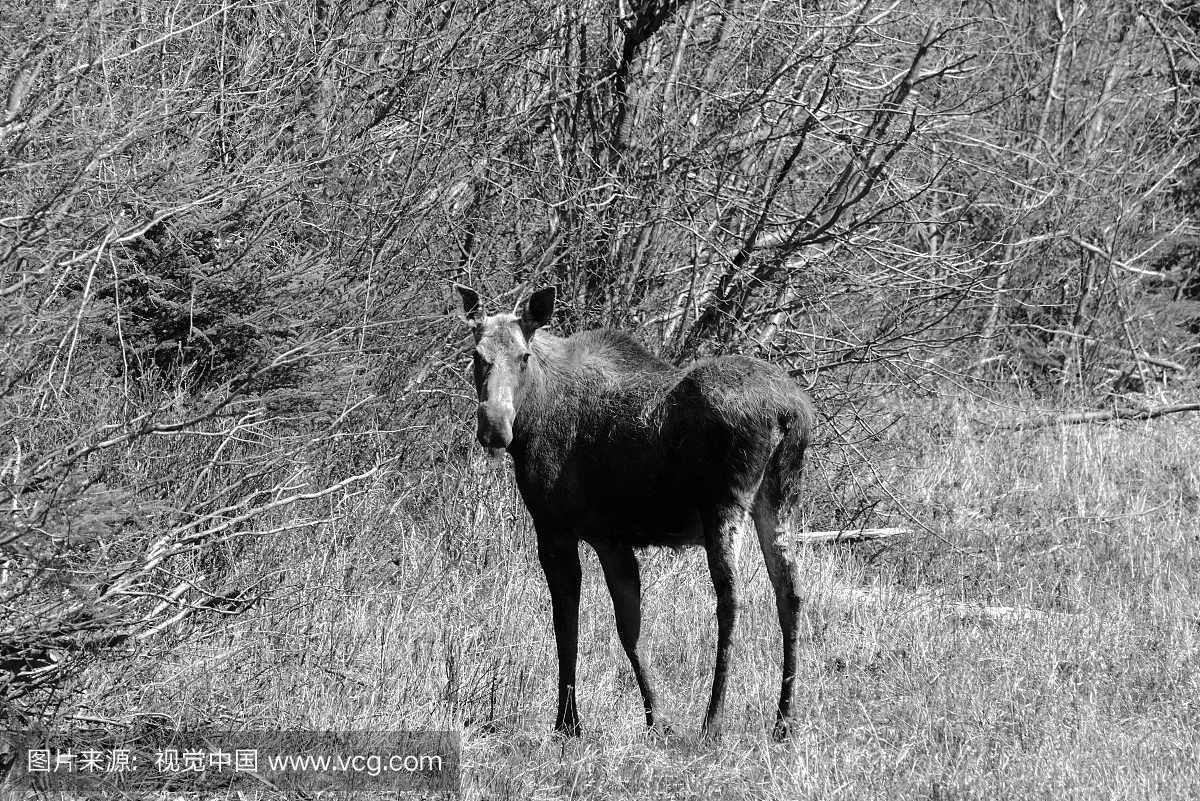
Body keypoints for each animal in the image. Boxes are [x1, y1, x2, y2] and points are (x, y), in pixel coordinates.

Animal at [458, 286, 816, 738]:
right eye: (476, 355)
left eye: (523, 356)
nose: (494, 426)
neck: (532, 414)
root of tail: (789, 413)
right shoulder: (611, 538)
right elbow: (631, 628)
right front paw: (654, 718)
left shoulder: (562, 530)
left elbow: (572, 626)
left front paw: (569, 722)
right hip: (781, 499)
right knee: (791, 592)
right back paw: (785, 720)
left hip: (723, 504)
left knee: (732, 599)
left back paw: (713, 721)